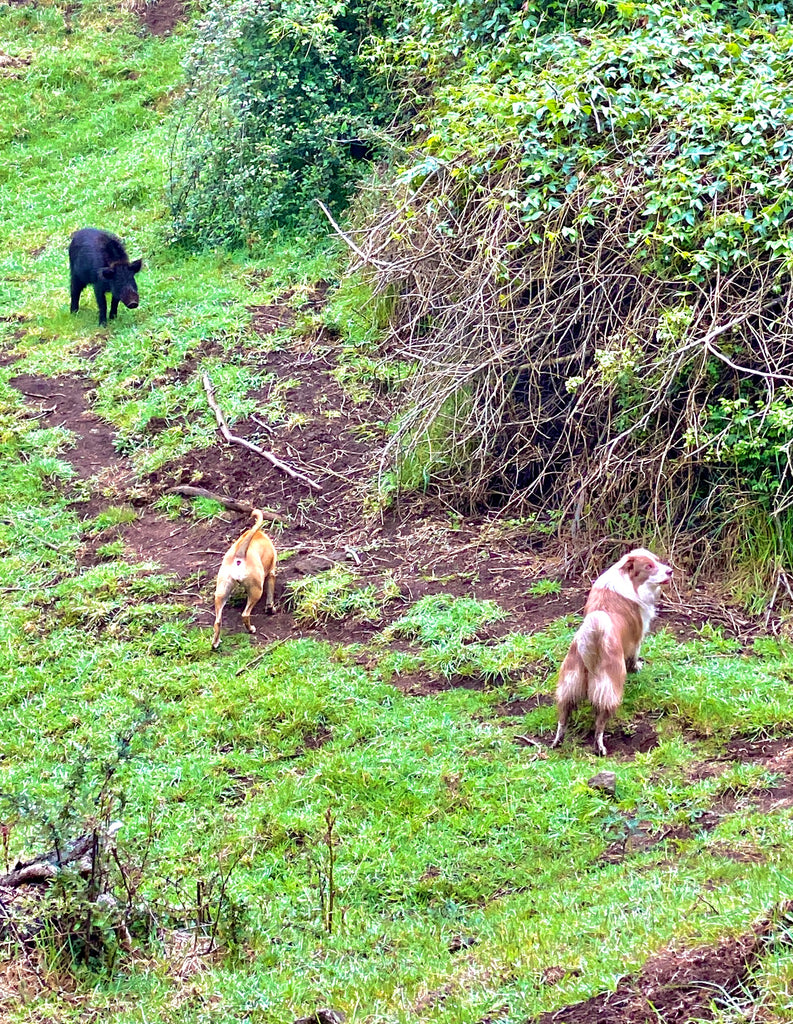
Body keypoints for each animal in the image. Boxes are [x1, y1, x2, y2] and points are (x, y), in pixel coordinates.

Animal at [213, 509, 278, 651]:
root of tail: (240, 554)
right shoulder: (271, 573)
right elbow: (270, 596)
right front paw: (270, 609)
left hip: (222, 591)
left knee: (217, 621)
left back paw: (215, 643)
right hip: (256, 590)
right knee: (245, 614)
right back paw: (251, 629)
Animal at [549, 548, 672, 757]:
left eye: (657, 560)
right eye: (648, 566)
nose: (670, 571)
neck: (627, 579)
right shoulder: (637, 638)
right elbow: (634, 657)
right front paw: (637, 668)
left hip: (568, 686)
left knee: (562, 719)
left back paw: (557, 742)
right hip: (610, 689)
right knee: (599, 725)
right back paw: (600, 748)